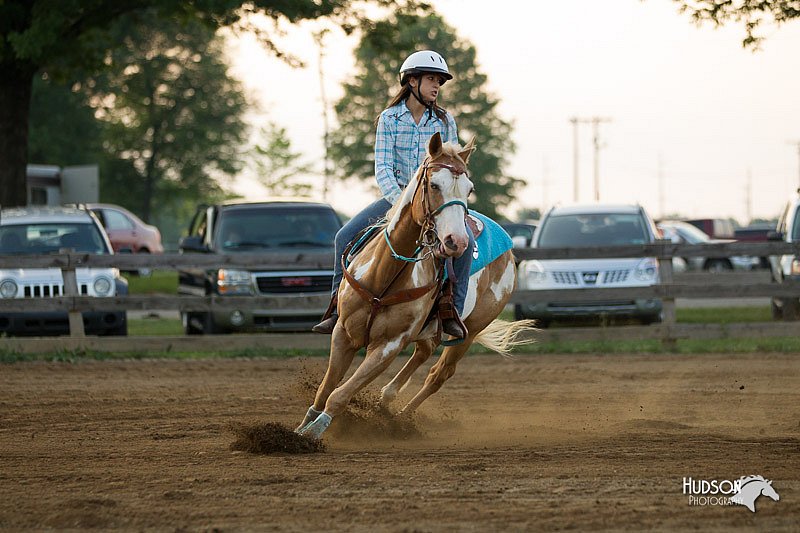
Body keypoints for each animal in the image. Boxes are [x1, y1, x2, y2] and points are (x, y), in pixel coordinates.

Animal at [294, 131, 532, 438]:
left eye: (469, 189)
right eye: (433, 184)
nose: (457, 242)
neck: (384, 278)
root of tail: (510, 249)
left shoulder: (389, 345)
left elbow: (340, 394)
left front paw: (314, 432)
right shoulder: (343, 333)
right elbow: (326, 388)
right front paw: (302, 427)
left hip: (472, 327)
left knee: (438, 374)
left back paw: (401, 419)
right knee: (425, 351)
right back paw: (386, 401)